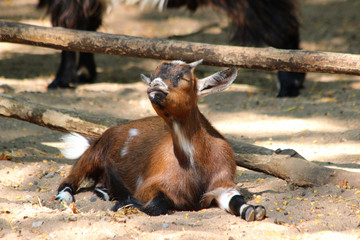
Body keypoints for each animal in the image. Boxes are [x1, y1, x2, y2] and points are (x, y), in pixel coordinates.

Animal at [38, 0, 306, 97]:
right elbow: (85, 30)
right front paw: (84, 74)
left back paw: (288, 88)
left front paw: (61, 80)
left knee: (280, 30)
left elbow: (67, 30)